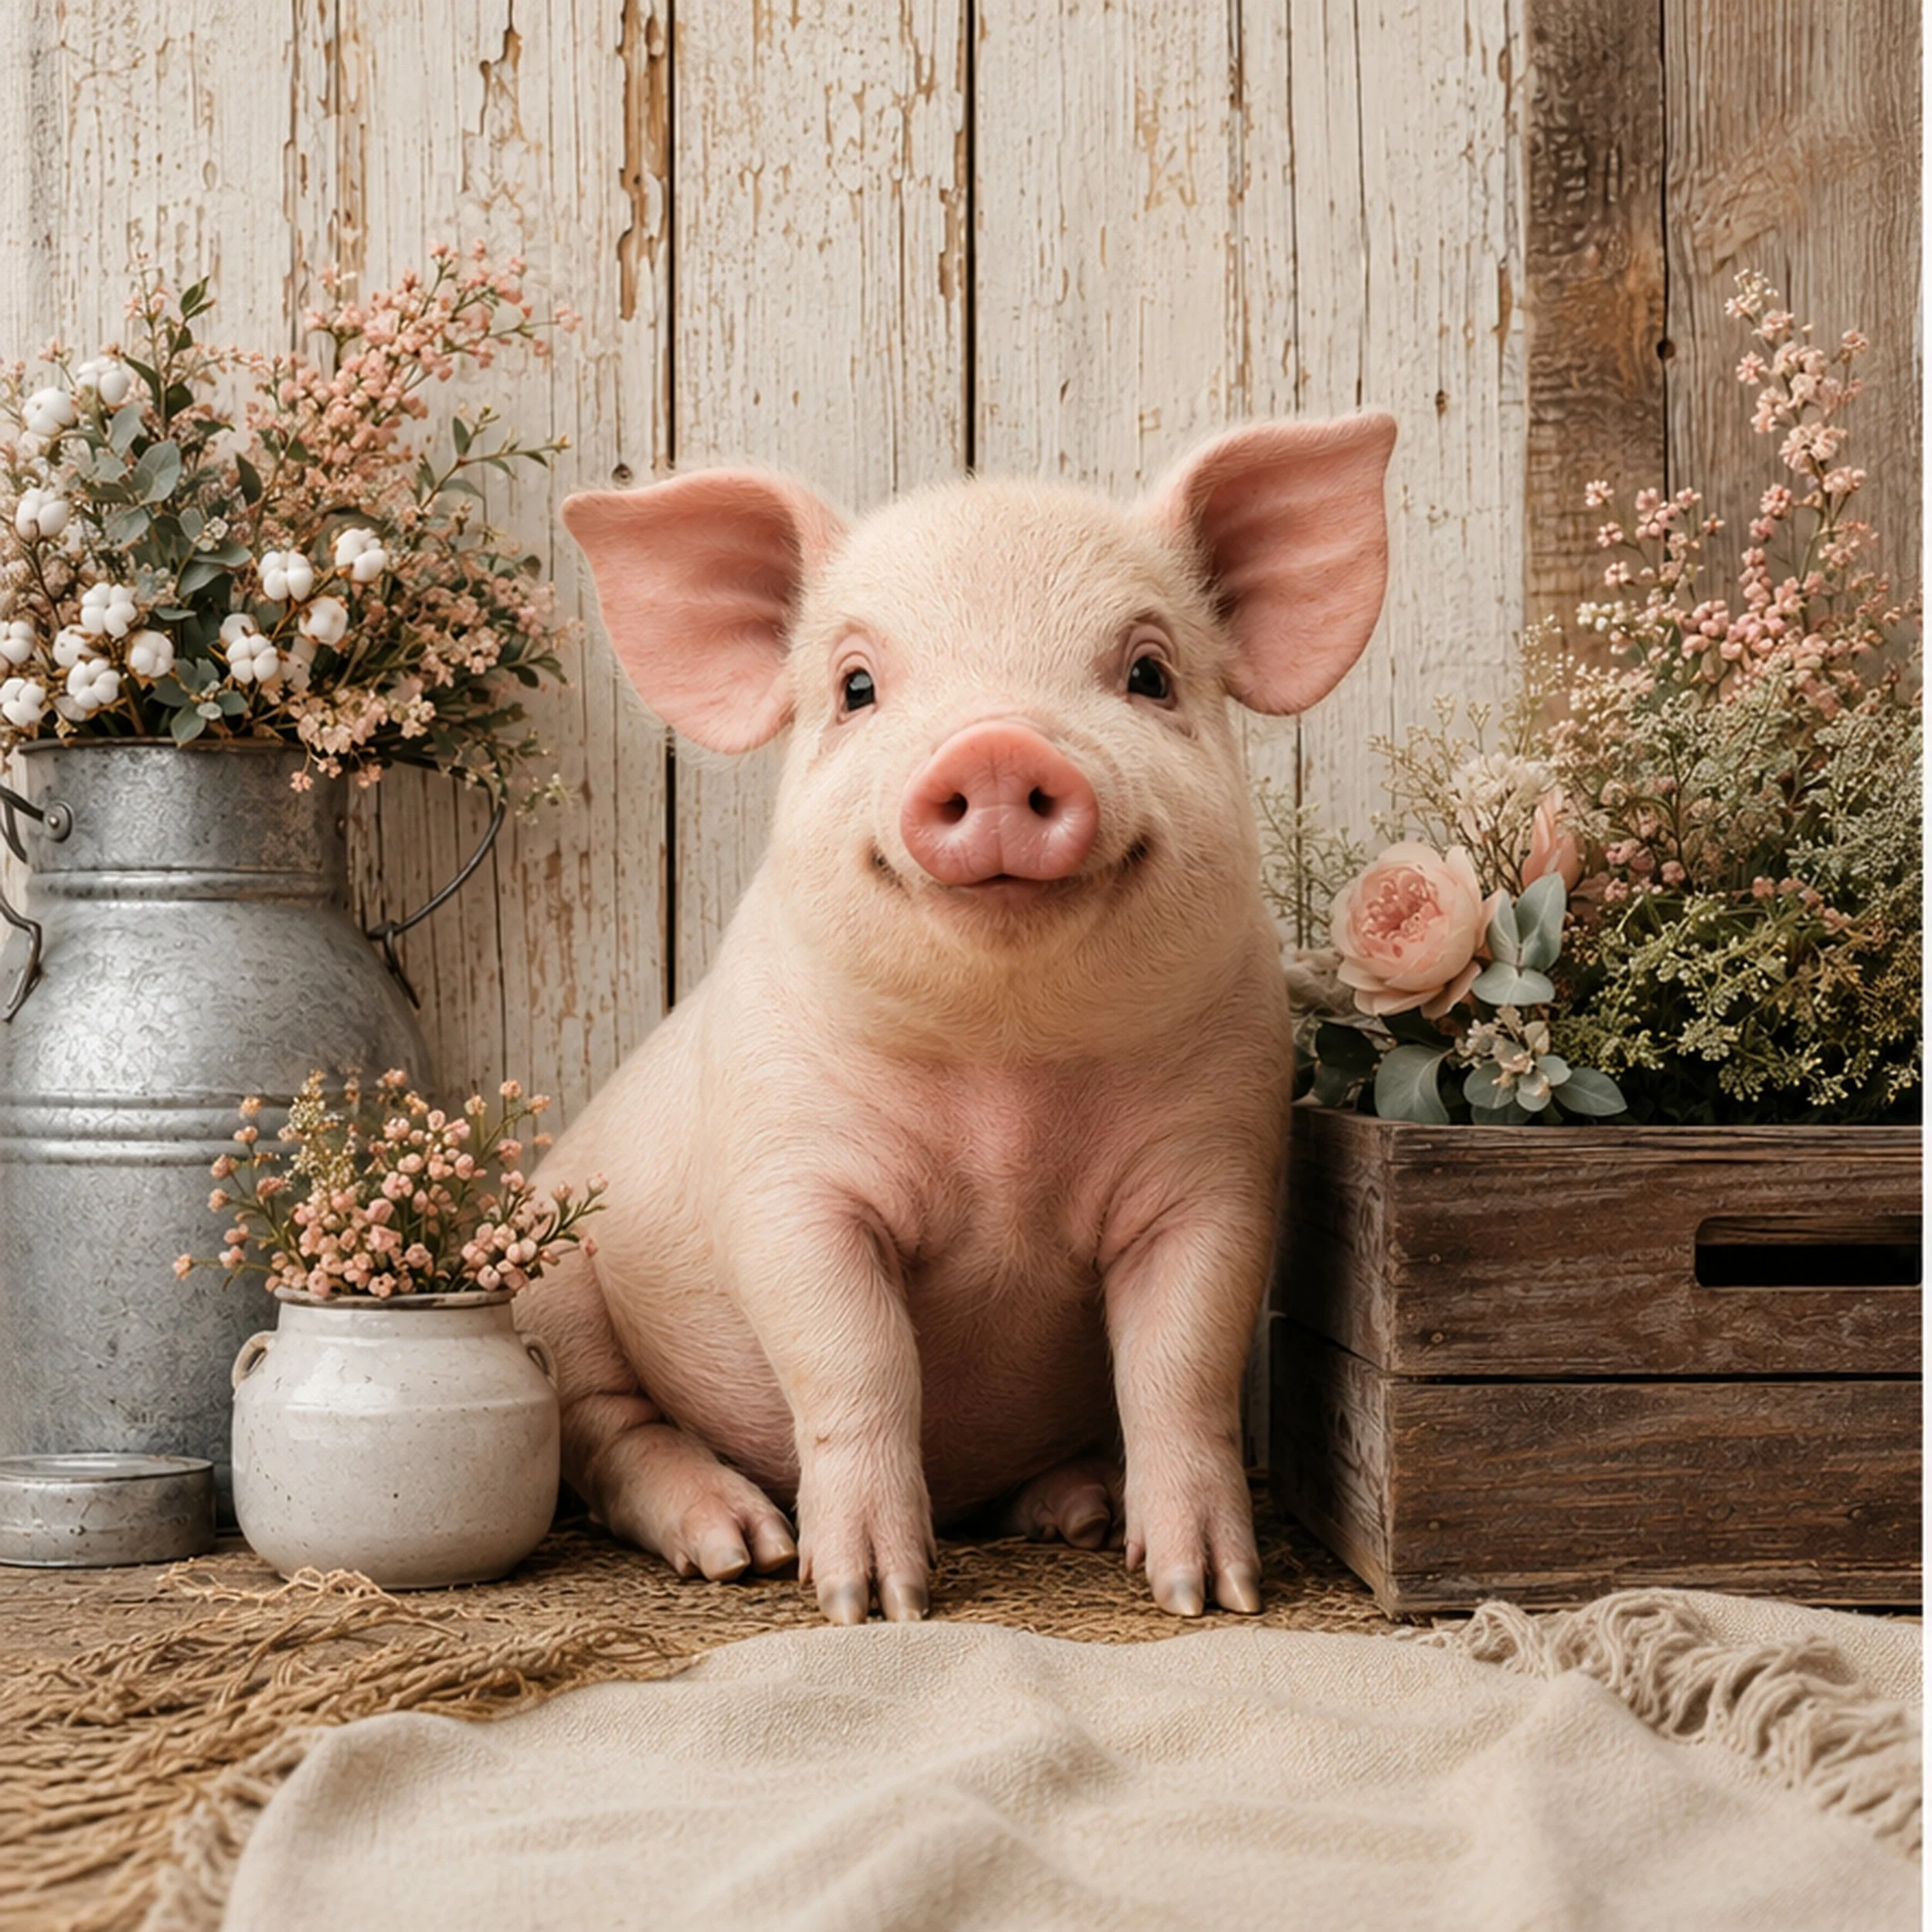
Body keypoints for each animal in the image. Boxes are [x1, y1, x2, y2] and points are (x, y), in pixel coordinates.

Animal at [520, 414, 1396, 1624]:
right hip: (552, 1266)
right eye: (855, 686)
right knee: (603, 1429)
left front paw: (1205, 1595)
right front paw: (868, 1604)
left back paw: (1081, 1510)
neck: (1006, 1090)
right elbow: (855, 1359)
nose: (996, 747)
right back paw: (741, 1547)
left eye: (1149, 672)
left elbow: (1182, 1361)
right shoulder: (789, 1177)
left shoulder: (1217, 1169)